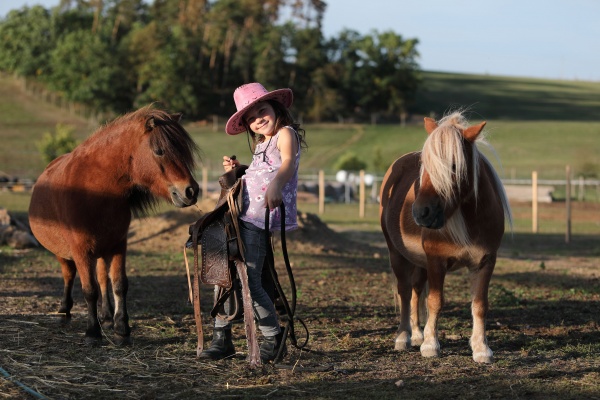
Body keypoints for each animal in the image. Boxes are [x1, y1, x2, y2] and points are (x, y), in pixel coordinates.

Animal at [29, 106, 199, 346]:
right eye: (159, 151)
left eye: (183, 151)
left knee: (102, 279)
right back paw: (64, 312)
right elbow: (89, 289)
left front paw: (121, 328)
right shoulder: (80, 250)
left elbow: (118, 284)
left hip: (102, 250)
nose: (191, 191)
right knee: (69, 275)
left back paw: (107, 316)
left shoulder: (119, 244)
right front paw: (92, 332)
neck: (94, 191)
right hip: (64, 253)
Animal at [380, 111, 510, 362]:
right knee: (404, 291)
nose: (421, 212)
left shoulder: (486, 261)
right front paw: (431, 345)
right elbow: (435, 301)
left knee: (415, 291)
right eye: (425, 166)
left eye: (454, 166)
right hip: (397, 255)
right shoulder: (436, 261)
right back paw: (404, 337)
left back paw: (417, 333)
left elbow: (480, 304)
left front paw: (481, 348)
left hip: (419, 263)